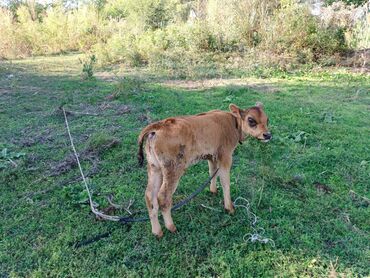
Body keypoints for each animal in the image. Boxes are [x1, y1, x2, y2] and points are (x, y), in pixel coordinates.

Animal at [137, 103, 270, 238]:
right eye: (251, 120)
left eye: (267, 120)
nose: (267, 135)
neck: (234, 124)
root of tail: (159, 126)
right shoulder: (226, 156)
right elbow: (225, 182)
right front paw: (229, 208)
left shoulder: (212, 157)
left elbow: (212, 173)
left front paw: (213, 191)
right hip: (173, 169)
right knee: (163, 197)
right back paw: (171, 227)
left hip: (155, 168)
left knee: (150, 196)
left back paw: (157, 232)